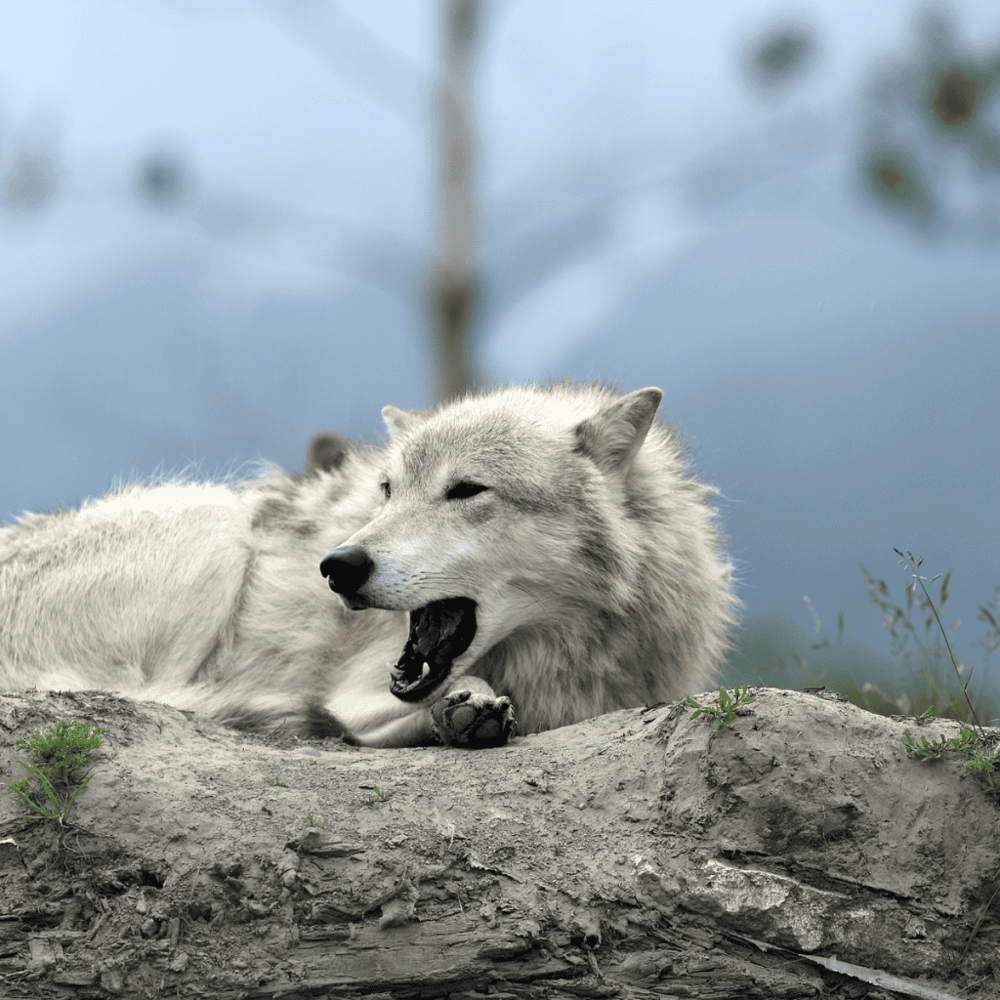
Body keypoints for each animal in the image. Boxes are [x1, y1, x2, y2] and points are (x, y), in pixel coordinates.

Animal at [0, 381, 738, 748]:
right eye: (388, 490)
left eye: (466, 490)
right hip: (214, 524)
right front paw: (464, 710)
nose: (337, 565)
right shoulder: (353, 684)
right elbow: (362, 714)